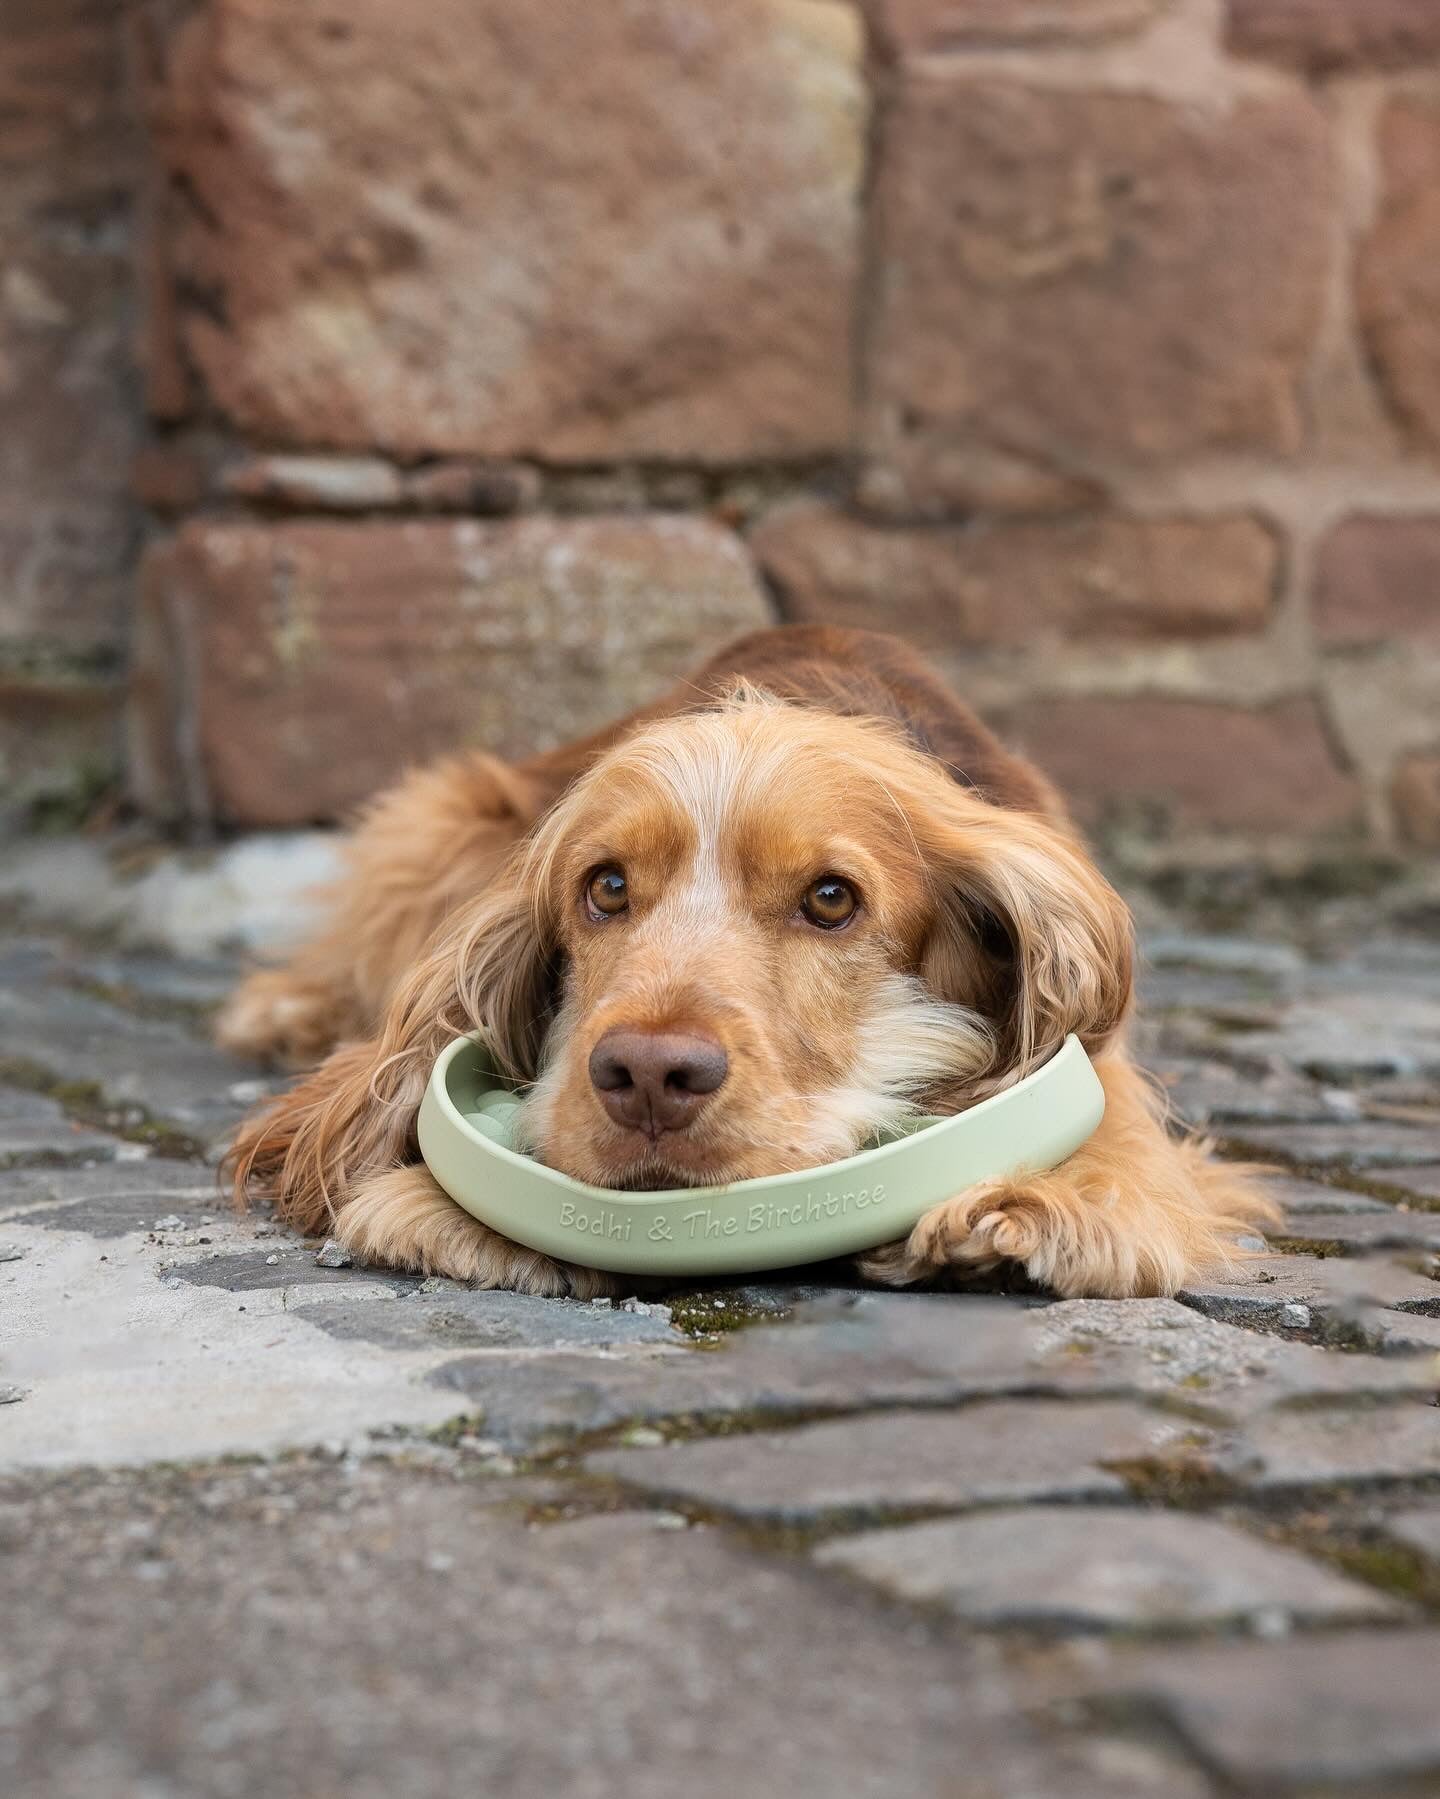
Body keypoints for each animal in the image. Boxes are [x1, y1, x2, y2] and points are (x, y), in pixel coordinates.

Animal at [225, 629, 1274, 1295]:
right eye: (606, 887)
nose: (650, 1077)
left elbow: (1122, 1135)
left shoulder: (1100, 1050)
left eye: (832, 899)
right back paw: (281, 1007)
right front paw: (451, 1208)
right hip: (442, 817)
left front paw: (1034, 1203)